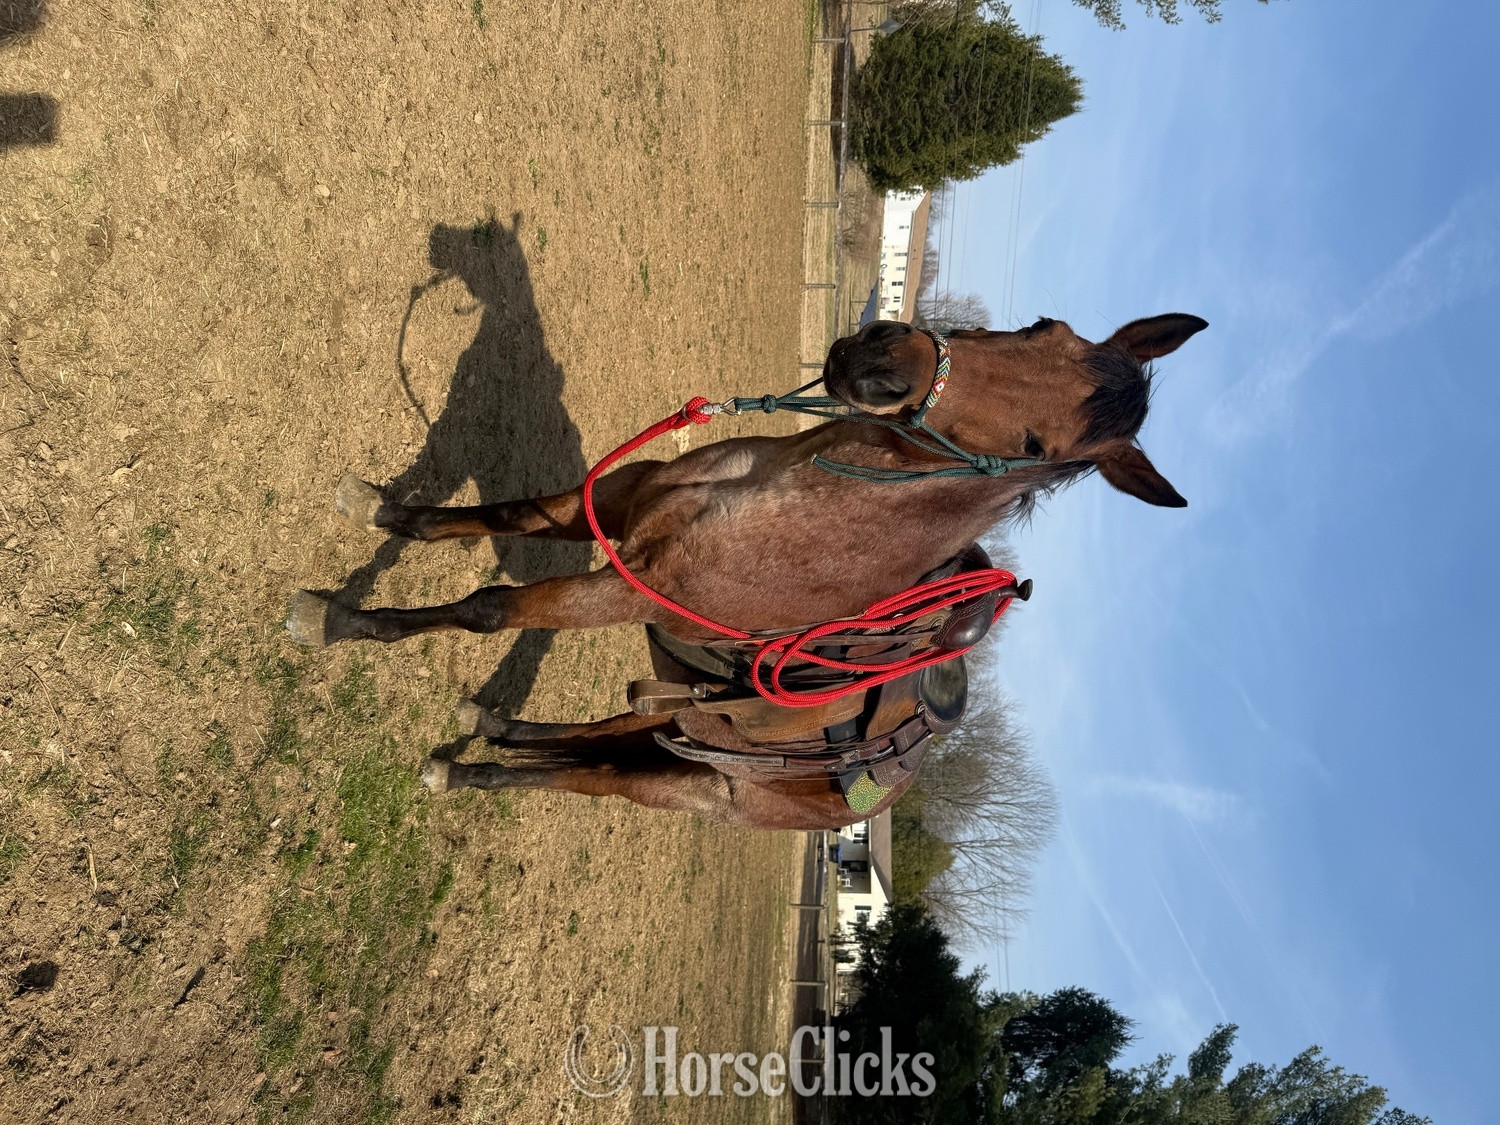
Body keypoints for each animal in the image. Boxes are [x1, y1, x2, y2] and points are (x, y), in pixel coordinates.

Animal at [286, 313, 1207, 828]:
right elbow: (495, 518)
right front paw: (381, 510)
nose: (882, 364)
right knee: (597, 742)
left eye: (1036, 446)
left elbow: (489, 605)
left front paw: (337, 619)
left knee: (593, 778)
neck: (787, 506)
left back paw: (468, 767)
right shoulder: (610, 502)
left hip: (698, 787)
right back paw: (489, 732)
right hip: (682, 725)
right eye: (1042, 327)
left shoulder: (619, 588)